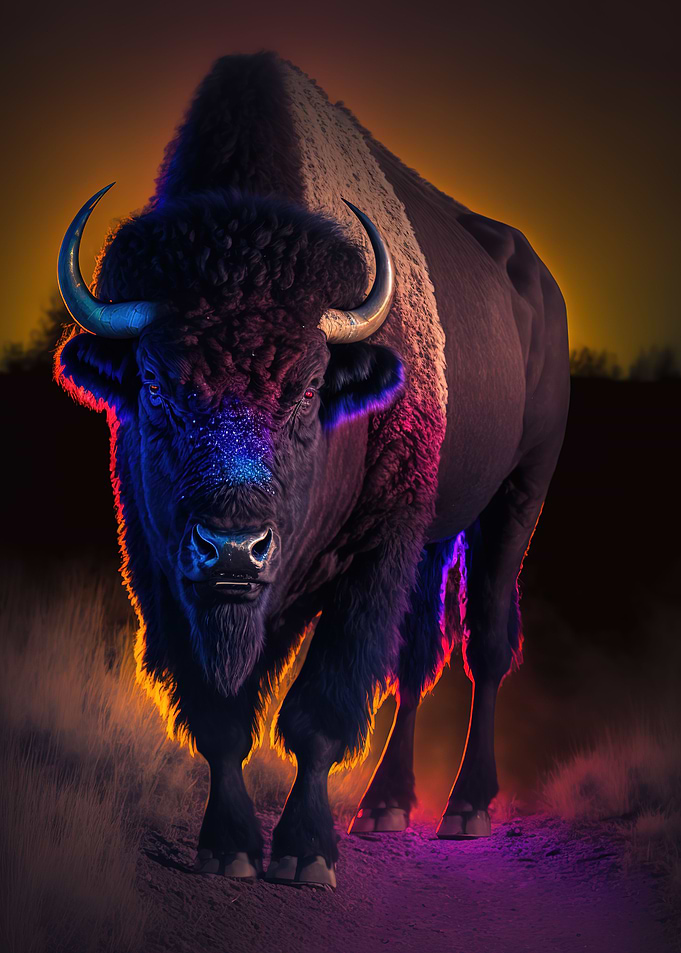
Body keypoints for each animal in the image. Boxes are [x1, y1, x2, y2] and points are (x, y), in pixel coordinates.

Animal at [55, 51, 569, 888]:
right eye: (155, 382)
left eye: (306, 385)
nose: (233, 549)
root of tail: (541, 286)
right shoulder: (166, 569)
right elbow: (220, 717)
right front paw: (228, 846)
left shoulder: (370, 556)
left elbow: (318, 712)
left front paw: (303, 853)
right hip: (434, 534)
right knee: (417, 655)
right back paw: (385, 805)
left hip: (518, 494)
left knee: (485, 642)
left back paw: (465, 808)